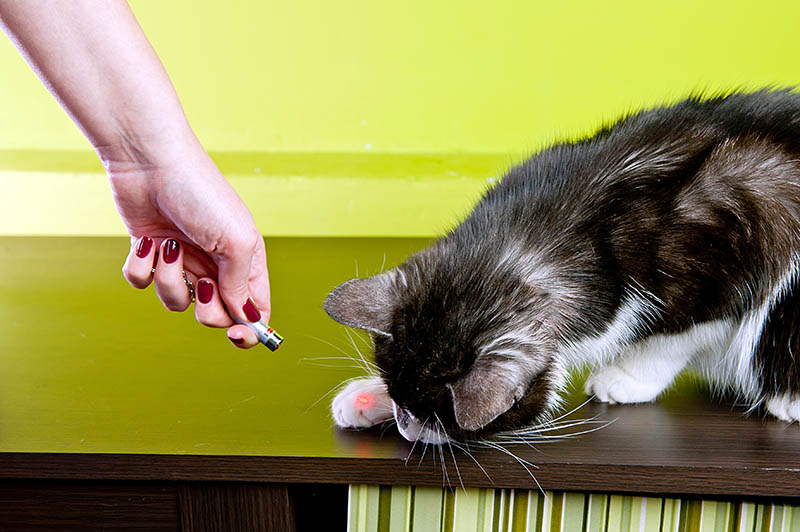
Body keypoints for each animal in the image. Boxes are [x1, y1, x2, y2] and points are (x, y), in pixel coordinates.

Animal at [322, 90, 800, 444]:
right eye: (402, 399)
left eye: (438, 416)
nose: (406, 426)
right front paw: (366, 397)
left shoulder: (722, 271)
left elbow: (672, 338)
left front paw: (627, 376)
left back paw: (786, 399)